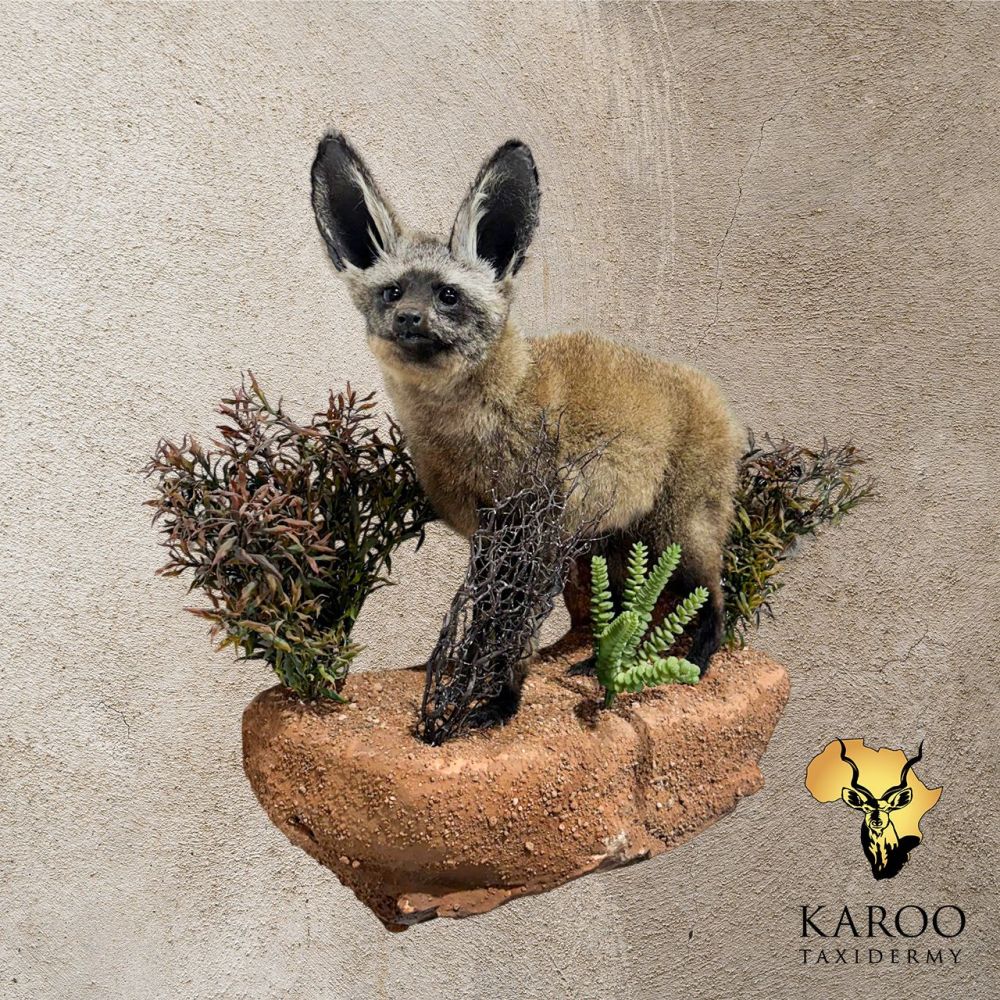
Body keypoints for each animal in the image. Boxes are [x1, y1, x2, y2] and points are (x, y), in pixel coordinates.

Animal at [310, 132, 743, 688]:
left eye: (447, 295)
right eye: (393, 292)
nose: (408, 318)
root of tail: (713, 394)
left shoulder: (536, 529)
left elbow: (509, 625)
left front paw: (492, 692)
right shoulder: (487, 532)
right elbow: (483, 615)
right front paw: (458, 671)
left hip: (680, 528)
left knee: (713, 596)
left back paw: (695, 660)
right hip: (624, 539)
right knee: (633, 609)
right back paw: (596, 663)